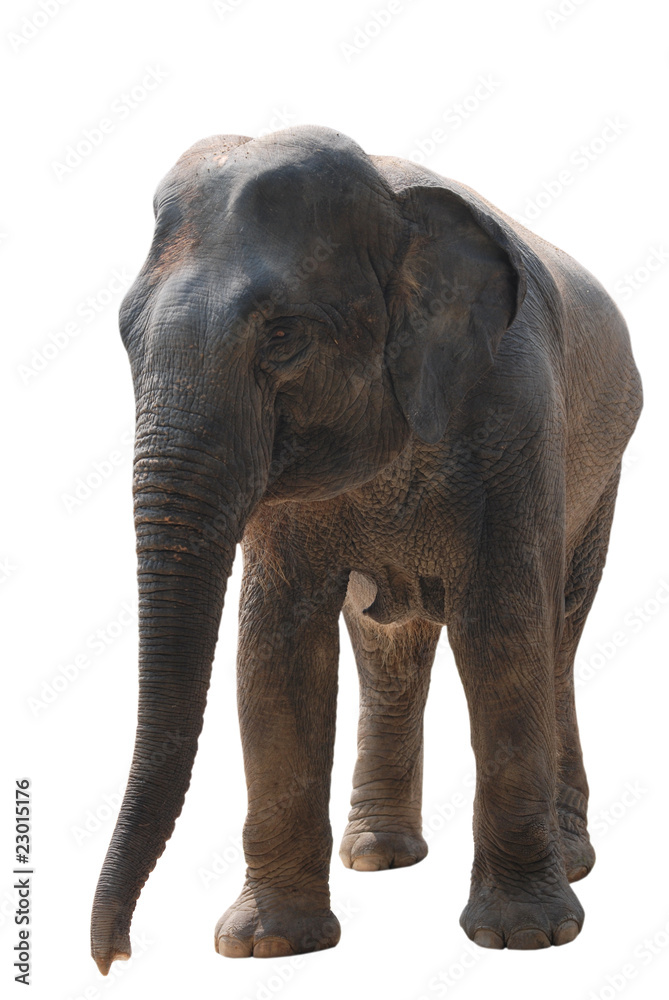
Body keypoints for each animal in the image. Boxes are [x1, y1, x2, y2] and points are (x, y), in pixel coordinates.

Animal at [90, 125, 642, 971]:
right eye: (124, 334)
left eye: (283, 335)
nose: (114, 955)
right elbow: (275, 648)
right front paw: (266, 946)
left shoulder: (513, 414)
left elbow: (504, 628)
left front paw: (524, 938)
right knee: (389, 645)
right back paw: (379, 857)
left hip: (601, 471)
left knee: (555, 640)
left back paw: (571, 860)